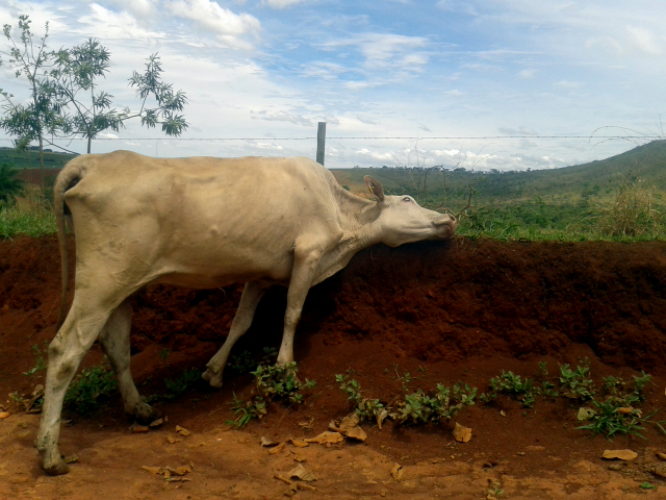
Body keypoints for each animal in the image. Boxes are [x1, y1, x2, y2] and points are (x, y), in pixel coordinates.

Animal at [33, 151, 454, 472]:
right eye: (407, 201)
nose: (449, 218)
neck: (343, 225)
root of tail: (92, 161)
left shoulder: (261, 275)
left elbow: (241, 322)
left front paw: (214, 371)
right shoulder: (308, 253)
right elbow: (292, 313)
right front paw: (285, 367)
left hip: (125, 283)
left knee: (116, 345)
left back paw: (141, 410)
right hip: (101, 278)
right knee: (65, 350)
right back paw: (51, 453)